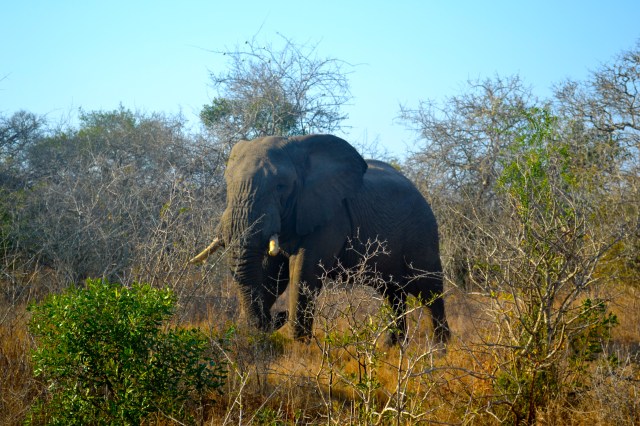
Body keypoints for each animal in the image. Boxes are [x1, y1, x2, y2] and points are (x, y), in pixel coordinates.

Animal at [191, 134, 449, 344]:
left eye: (280, 186)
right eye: (228, 184)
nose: (278, 316)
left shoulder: (331, 216)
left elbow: (302, 271)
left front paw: (298, 346)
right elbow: (272, 274)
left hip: (423, 232)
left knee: (429, 290)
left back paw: (439, 349)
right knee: (392, 293)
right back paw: (392, 347)